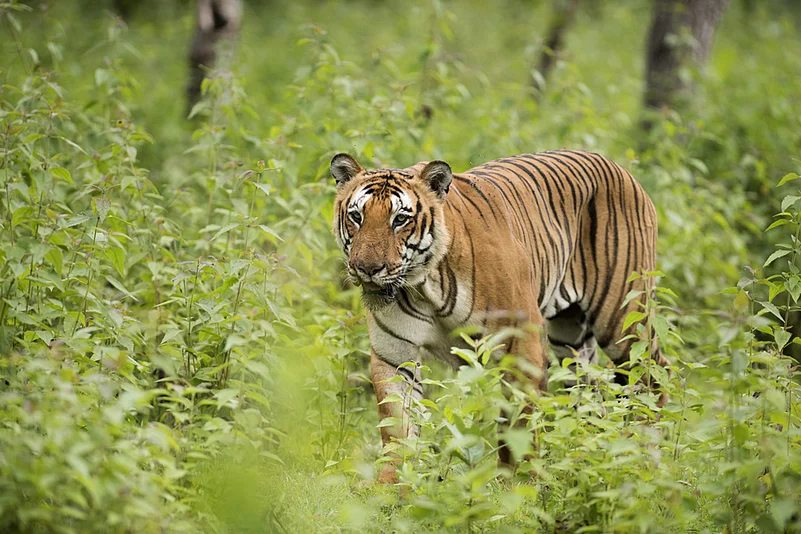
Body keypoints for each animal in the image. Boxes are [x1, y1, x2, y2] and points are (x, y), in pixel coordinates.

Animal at [330, 150, 670, 483]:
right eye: (356, 217)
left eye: (400, 219)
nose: (367, 268)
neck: (425, 285)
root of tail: (618, 166)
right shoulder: (395, 354)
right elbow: (398, 427)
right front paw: (391, 487)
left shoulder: (522, 348)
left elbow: (518, 427)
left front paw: (517, 485)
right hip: (570, 337)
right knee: (589, 391)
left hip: (624, 318)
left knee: (653, 375)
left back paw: (643, 456)